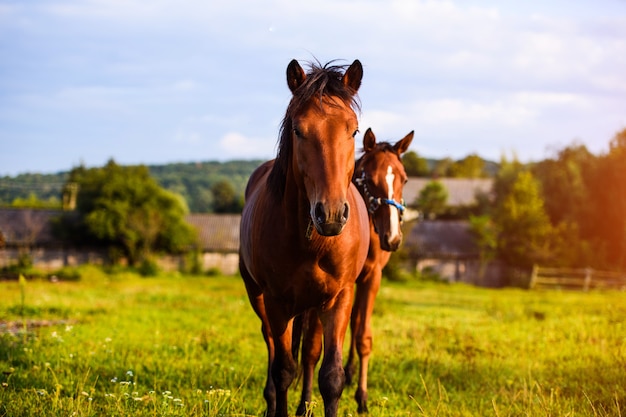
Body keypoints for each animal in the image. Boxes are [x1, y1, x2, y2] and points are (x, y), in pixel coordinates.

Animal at [238, 59, 368, 416]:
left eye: (353, 131)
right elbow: (283, 369)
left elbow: (332, 376)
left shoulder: (339, 298)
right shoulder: (276, 301)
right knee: (272, 345)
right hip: (260, 297)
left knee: (309, 351)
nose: (331, 214)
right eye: (298, 129)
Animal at [294, 127, 412, 412]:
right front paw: (306, 403)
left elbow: (362, 336)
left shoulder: (371, 278)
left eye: (404, 179)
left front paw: (362, 398)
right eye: (368, 178)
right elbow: (312, 346)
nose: (392, 237)